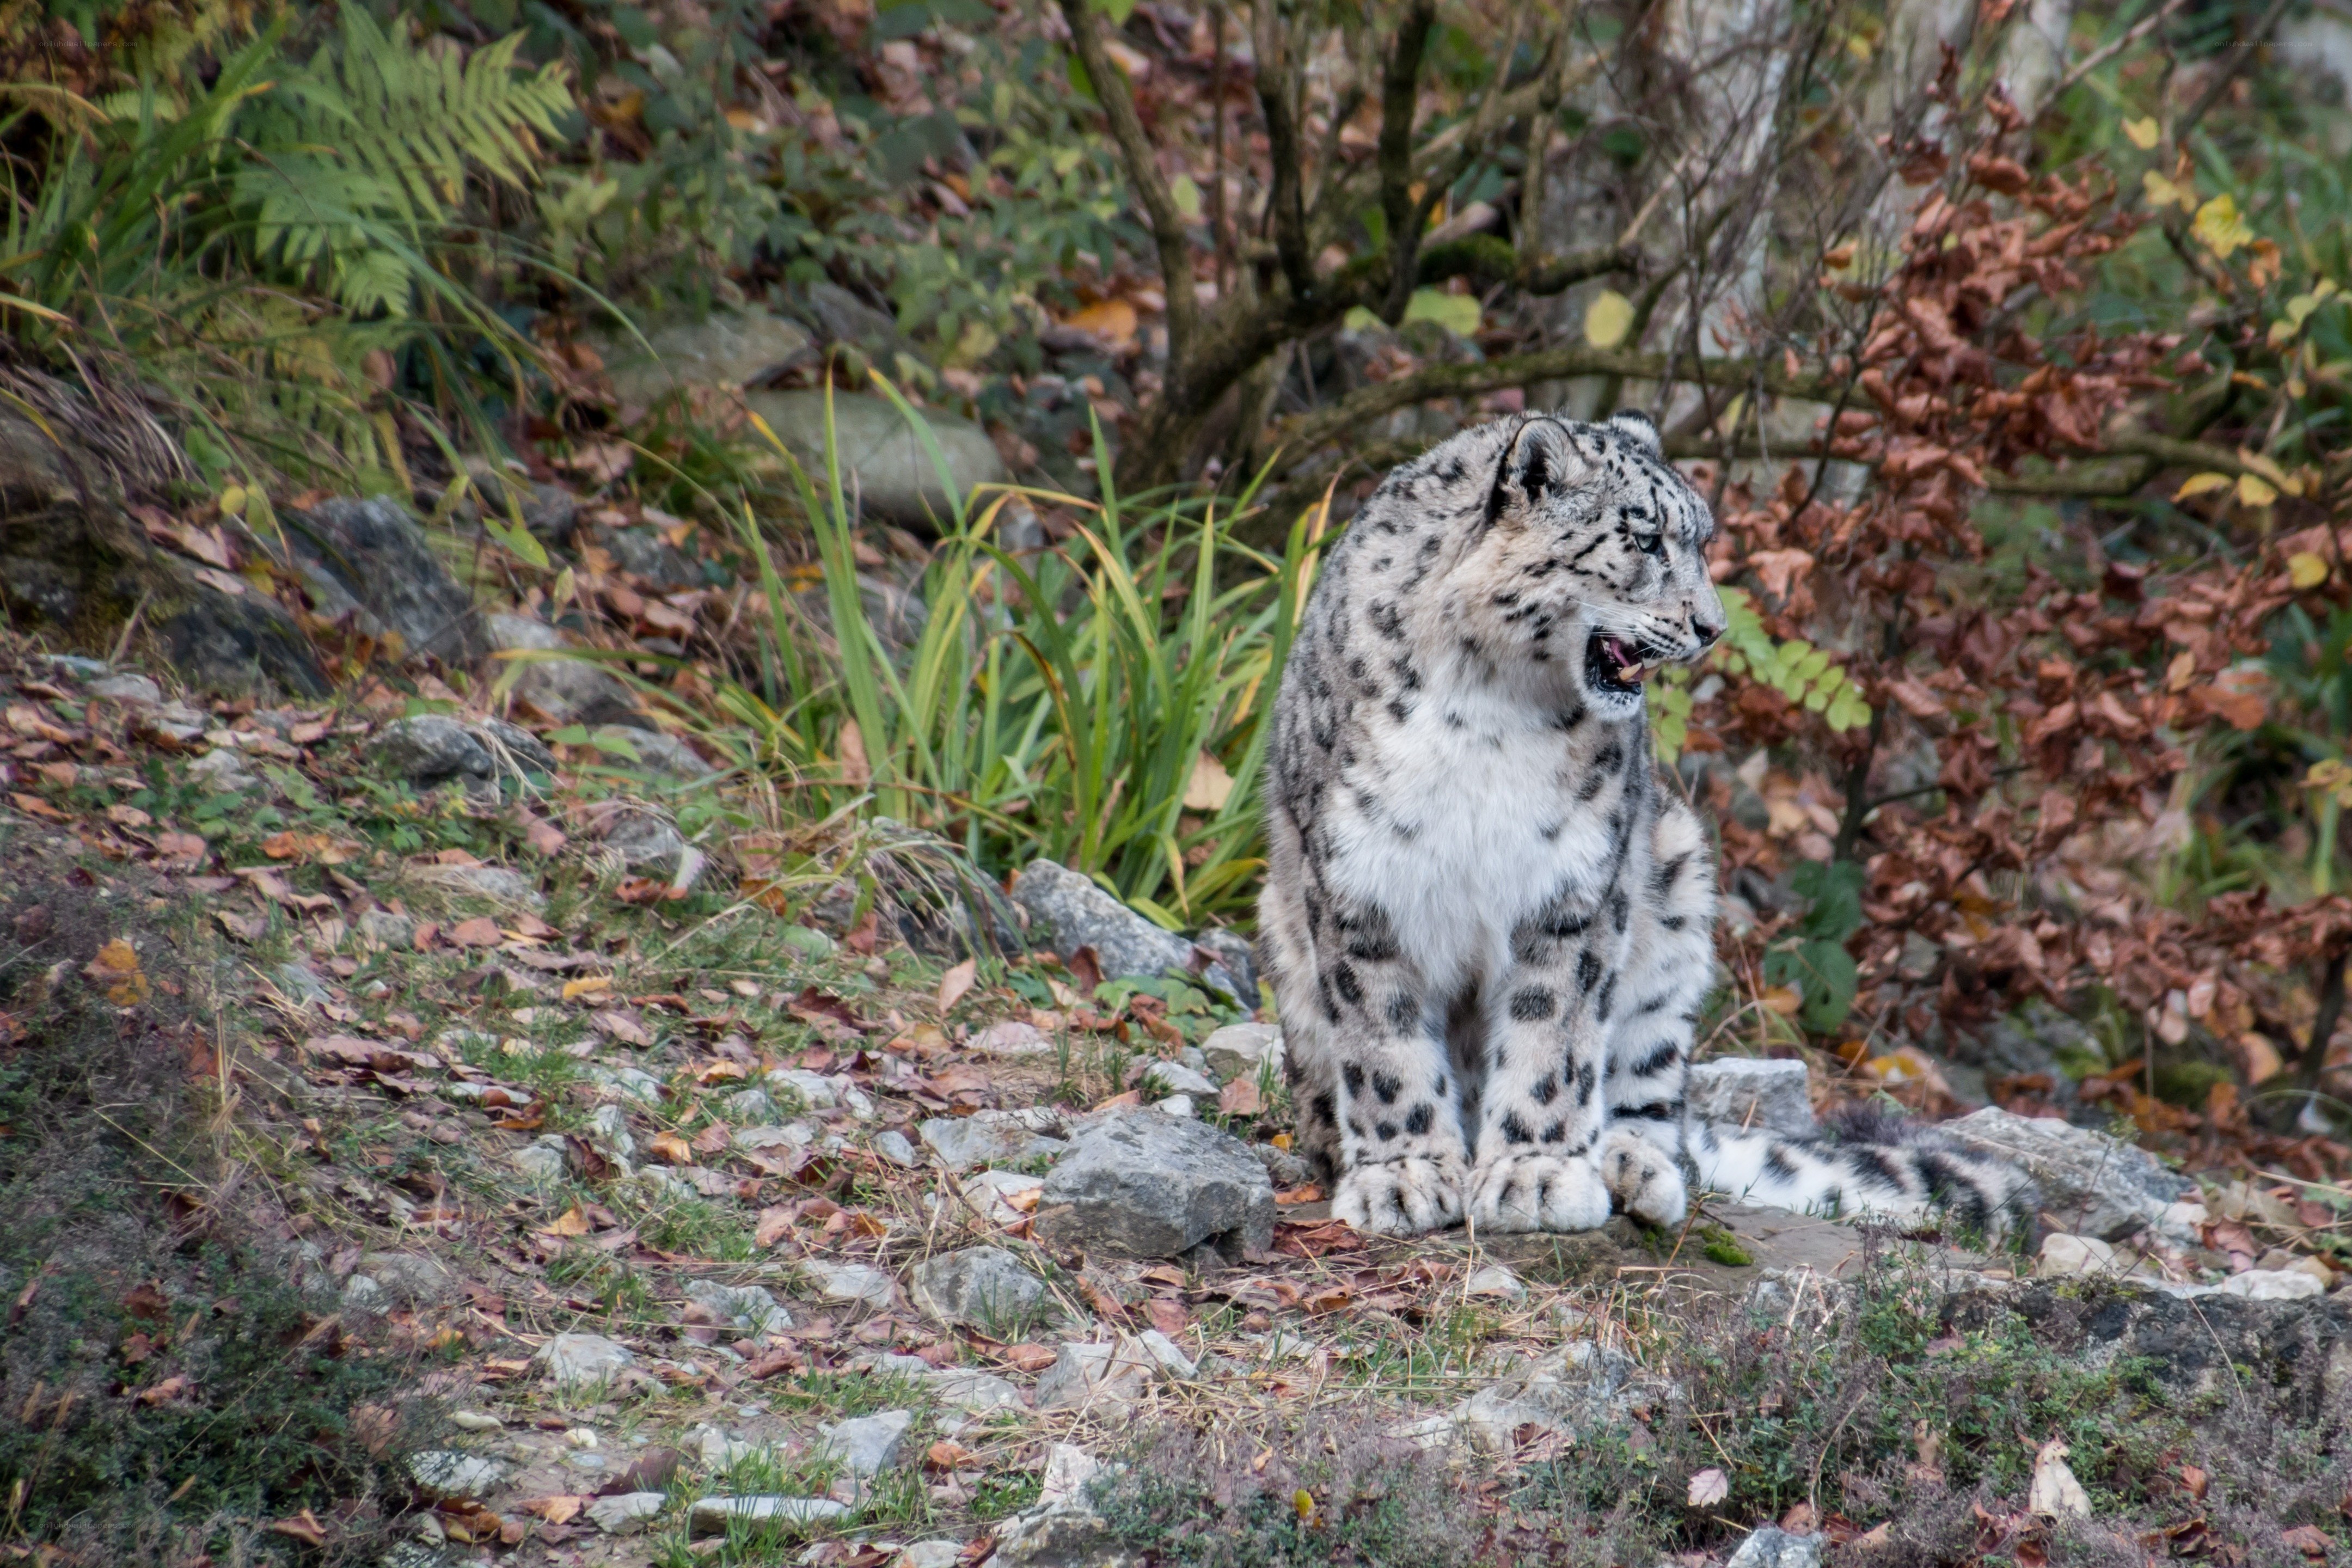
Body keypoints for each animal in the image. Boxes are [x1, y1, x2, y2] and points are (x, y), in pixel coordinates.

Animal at [1258, 408, 2034, 1238]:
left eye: (1700, 540)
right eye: (1647, 538)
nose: (1713, 627)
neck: (1490, 703)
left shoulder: (1575, 881)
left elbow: (1554, 1034)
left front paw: (1536, 1175)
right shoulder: (1360, 876)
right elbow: (1383, 1038)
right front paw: (1403, 1177)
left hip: (1678, 892)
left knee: (1655, 1095)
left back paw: (1633, 1167)